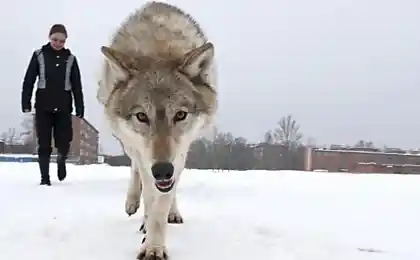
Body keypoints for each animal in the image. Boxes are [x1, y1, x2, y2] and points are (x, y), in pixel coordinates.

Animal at [97, 1, 218, 258]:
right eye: (142, 116)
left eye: (180, 115)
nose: (162, 170)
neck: (158, 49)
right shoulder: (145, 156)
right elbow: (149, 193)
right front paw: (148, 235)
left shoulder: (180, 151)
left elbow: (162, 203)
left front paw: (154, 245)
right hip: (130, 144)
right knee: (136, 170)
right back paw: (133, 203)